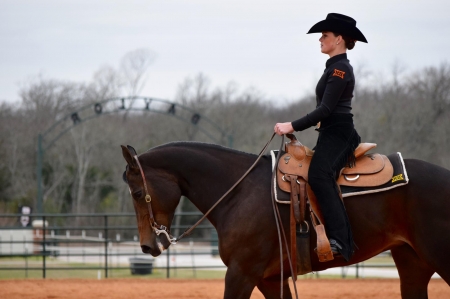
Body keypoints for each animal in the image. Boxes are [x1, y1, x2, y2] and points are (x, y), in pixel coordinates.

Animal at [121, 141, 448, 299]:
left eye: (137, 192)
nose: (147, 246)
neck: (240, 191)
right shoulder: (268, 279)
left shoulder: (241, 274)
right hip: (413, 265)